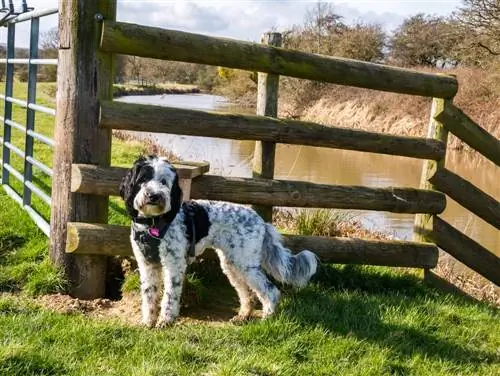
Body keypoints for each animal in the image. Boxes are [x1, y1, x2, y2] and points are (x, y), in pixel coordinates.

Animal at [120, 154, 316, 328]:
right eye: (143, 179)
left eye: (163, 182)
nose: (154, 196)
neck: (152, 224)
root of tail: (262, 222)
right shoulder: (147, 265)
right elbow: (149, 296)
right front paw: (148, 321)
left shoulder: (173, 265)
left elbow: (169, 296)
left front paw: (165, 321)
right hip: (232, 264)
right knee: (246, 293)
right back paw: (243, 316)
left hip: (246, 264)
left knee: (270, 291)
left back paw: (267, 318)